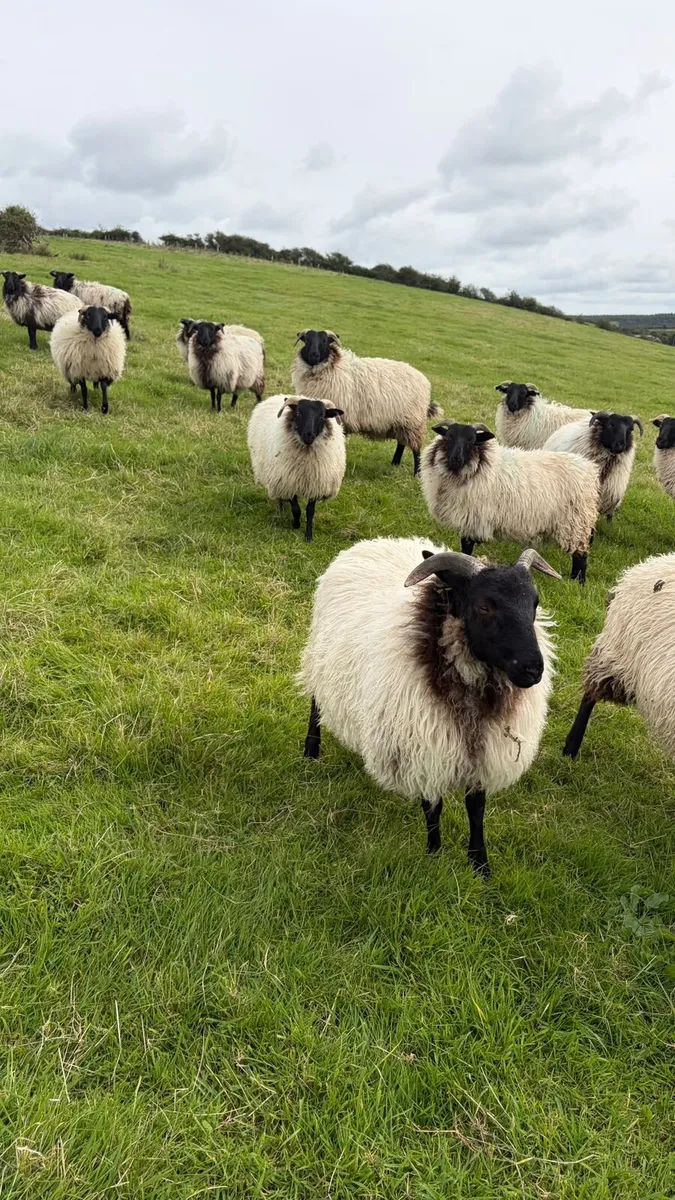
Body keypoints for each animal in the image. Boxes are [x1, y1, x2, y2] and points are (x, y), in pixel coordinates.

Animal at [248, 396, 346, 541]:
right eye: (298, 413)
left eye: (322, 416)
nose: (308, 435)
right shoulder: (288, 482)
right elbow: (296, 509)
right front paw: (296, 525)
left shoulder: (315, 485)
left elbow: (310, 511)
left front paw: (308, 536)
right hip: (276, 477)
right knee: (279, 497)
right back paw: (281, 511)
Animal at [291, 329, 440, 476]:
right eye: (307, 340)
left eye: (325, 341)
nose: (314, 355)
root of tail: (423, 379)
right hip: (402, 422)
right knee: (401, 443)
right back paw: (395, 463)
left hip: (413, 422)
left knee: (416, 449)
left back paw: (417, 473)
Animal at [299, 537, 560, 872]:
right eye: (484, 606)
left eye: (534, 604)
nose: (533, 669)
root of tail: (370, 543)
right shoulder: (424, 744)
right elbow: (432, 806)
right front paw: (434, 854)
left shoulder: (484, 749)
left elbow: (476, 808)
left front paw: (479, 863)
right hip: (321, 660)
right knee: (316, 702)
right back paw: (311, 749)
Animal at [420, 421, 599, 584]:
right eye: (449, 436)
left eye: (472, 440)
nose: (456, 459)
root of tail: (588, 468)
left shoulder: (473, 517)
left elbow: (466, 546)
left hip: (576, 523)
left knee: (581, 556)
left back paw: (577, 582)